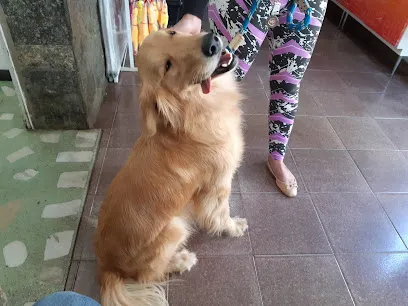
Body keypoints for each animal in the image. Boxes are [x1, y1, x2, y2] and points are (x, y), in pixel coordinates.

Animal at [96, 29, 245, 306]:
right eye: (167, 66)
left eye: (173, 32)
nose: (211, 42)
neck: (192, 107)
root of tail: (108, 268)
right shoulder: (217, 186)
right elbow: (220, 215)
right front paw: (233, 227)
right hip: (175, 227)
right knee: (149, 274)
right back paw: (181, 260)